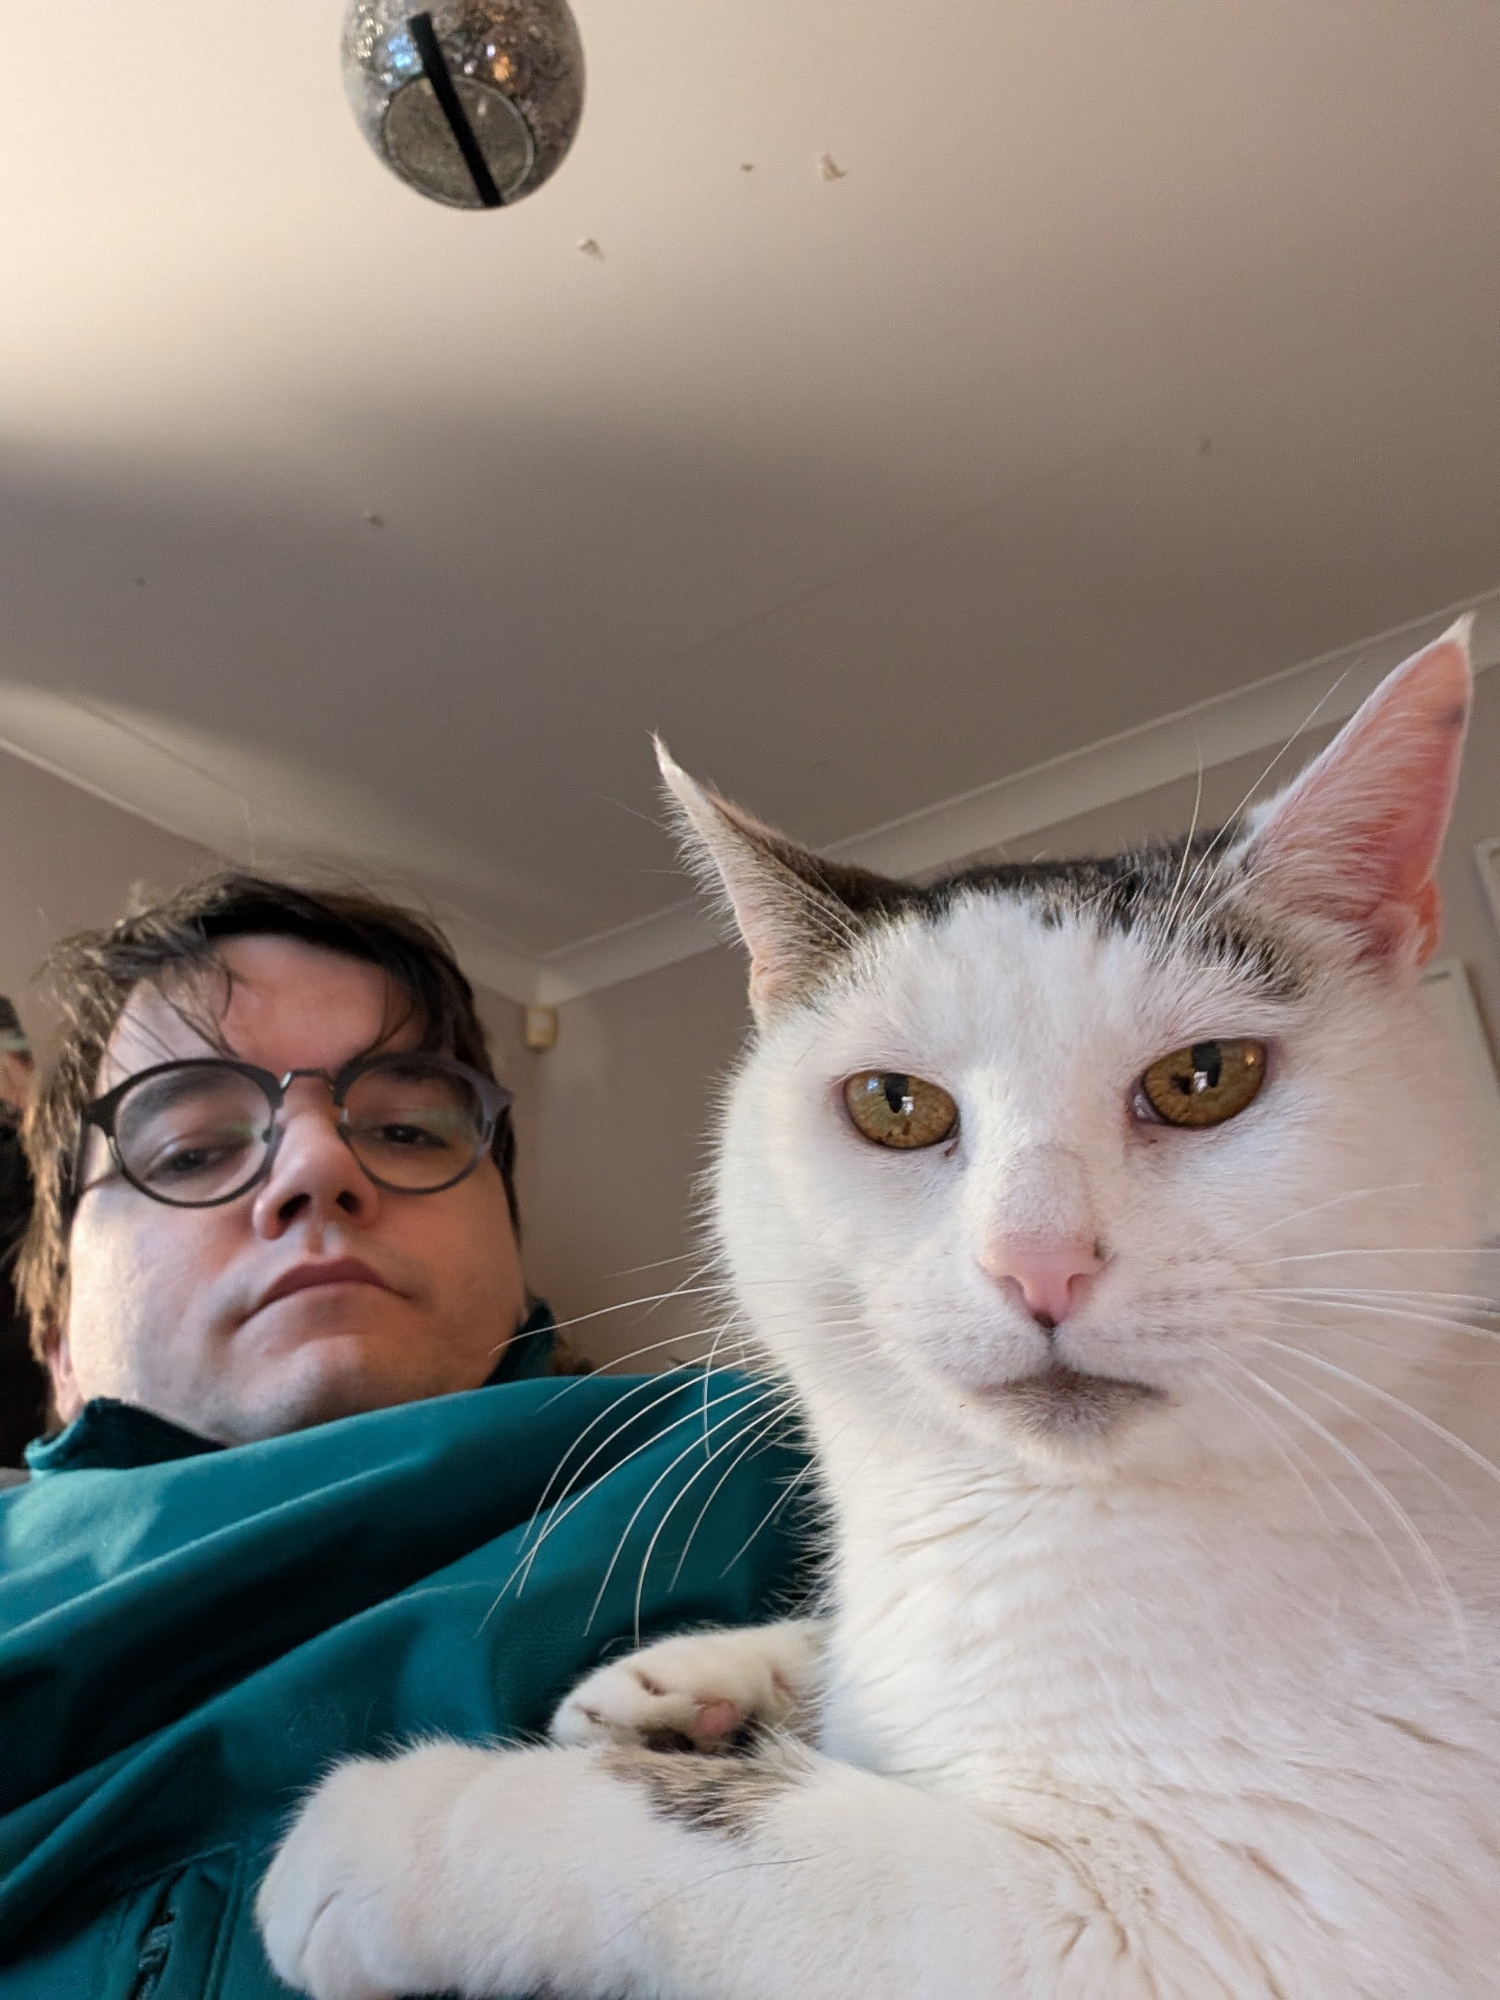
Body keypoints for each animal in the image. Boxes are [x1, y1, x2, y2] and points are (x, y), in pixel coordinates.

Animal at [258, 617, 1500, 1999]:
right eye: (894, 1105)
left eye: (1203, 1077)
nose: (1038, 1260)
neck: (1014, 1520)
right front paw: (672, 1680)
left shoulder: (1183, 1929)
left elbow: (732, 1829)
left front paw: (399, 1826)